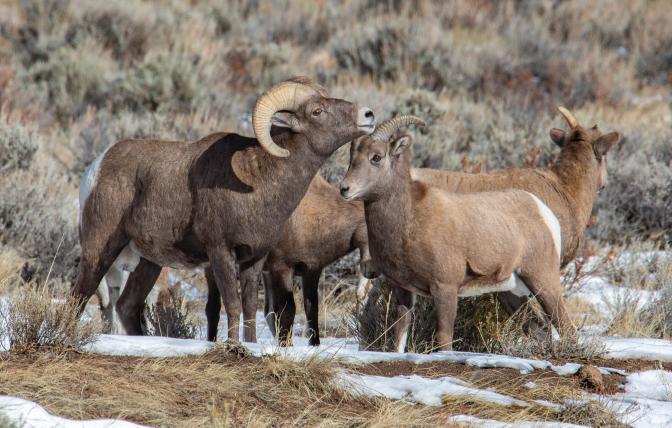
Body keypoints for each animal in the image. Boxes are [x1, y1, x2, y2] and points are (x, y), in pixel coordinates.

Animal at [205, 174, 369, 345]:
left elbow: (310, 309)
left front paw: (313, 344)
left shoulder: (311, 270)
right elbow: (287, 310)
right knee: (213, 305)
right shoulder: (281, 267)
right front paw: (286, 345)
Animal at [340, 115, 578, 351]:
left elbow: (444, 338)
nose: (345, 189)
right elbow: (399, 335)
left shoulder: (445, 289)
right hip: (513, 294)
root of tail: (542, 210)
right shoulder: (403, 291)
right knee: (541, 331)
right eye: (352, 156)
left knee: (567, 327)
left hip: (543, 281)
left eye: (376, 157)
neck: (409, 221)